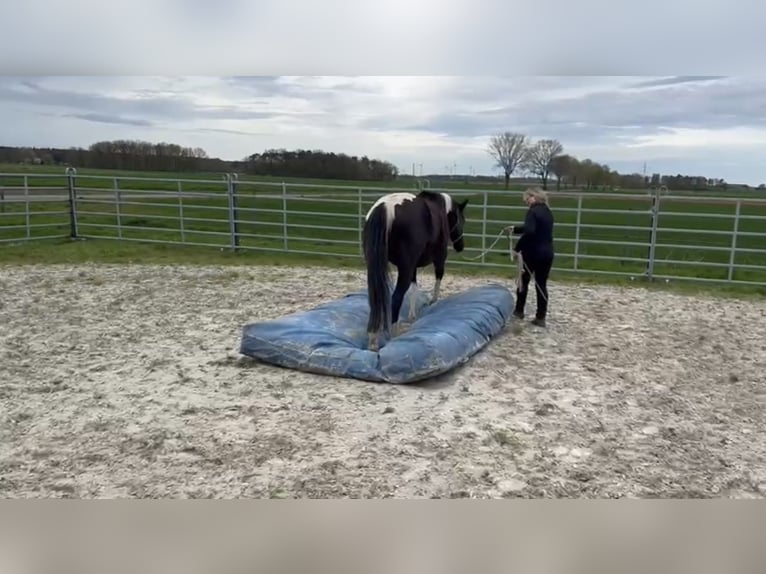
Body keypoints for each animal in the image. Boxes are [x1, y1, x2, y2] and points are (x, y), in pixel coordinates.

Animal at [362, 190, 468, 352]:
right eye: (462, 220)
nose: (460, 246)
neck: (441, 209)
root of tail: (386, 207)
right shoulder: (439, 258)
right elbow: (438, 277)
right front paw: (433, 301)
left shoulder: (413, 267)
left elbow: (414, 288)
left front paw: (412, 315)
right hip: (405, 268)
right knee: (396, 298)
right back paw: (393, 333)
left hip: (376, 268)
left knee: (376, 298)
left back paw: (373, 338)